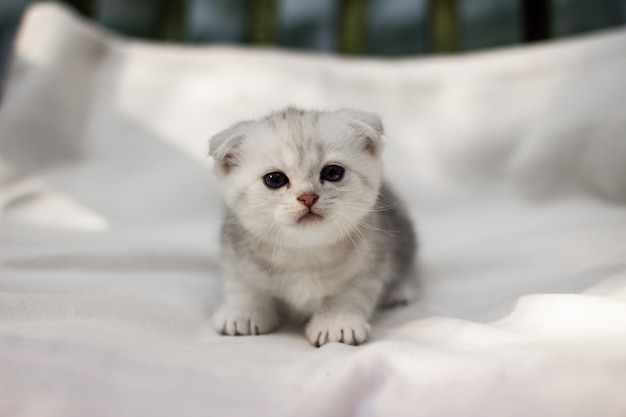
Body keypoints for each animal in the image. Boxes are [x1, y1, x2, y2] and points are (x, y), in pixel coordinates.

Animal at [208, 106, 414, 344]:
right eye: (274, 179)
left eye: (333, 172)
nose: (308, 197)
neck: (305, 252)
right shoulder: (235, 255)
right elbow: (244, 286)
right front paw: (244, 313)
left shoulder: (370, 265)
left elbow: (350, 295)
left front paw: (337, 322)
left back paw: (400, 290)